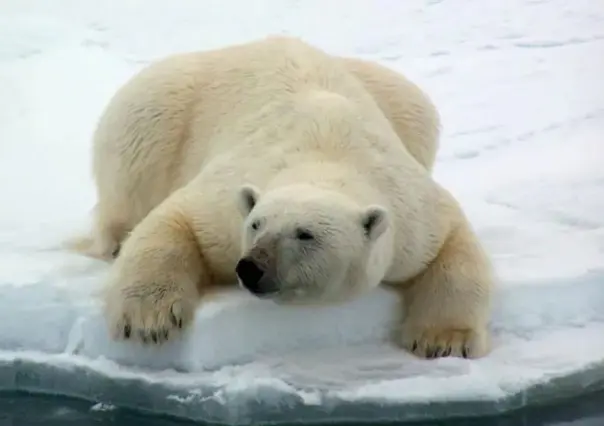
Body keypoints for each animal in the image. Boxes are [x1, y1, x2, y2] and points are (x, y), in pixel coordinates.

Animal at [68, 35, 494, 360]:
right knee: (133, 162)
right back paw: (114, 240)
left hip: (400, 101)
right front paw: (149, 321)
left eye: (305, 234)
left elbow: (454, 248)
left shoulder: (411, 211)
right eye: (256, 224)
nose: (250, 266)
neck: (327, 154)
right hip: (160, 107)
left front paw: (444, 341)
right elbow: (175, 219)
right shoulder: (227, 201)